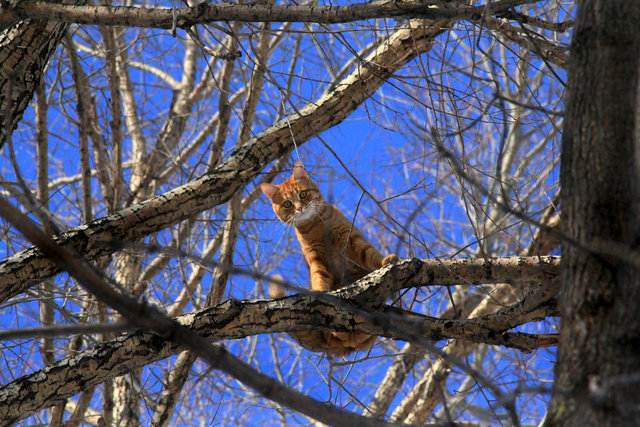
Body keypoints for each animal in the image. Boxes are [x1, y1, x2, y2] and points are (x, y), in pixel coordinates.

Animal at [260, 162, 396, 356]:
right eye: (287, 204)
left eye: (303, 194)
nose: (299, 208)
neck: (316, 225)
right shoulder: (316, 258)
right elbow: (319, 277)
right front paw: (318, 291)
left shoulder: (352, 239)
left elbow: (372, 254)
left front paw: (387, 260)